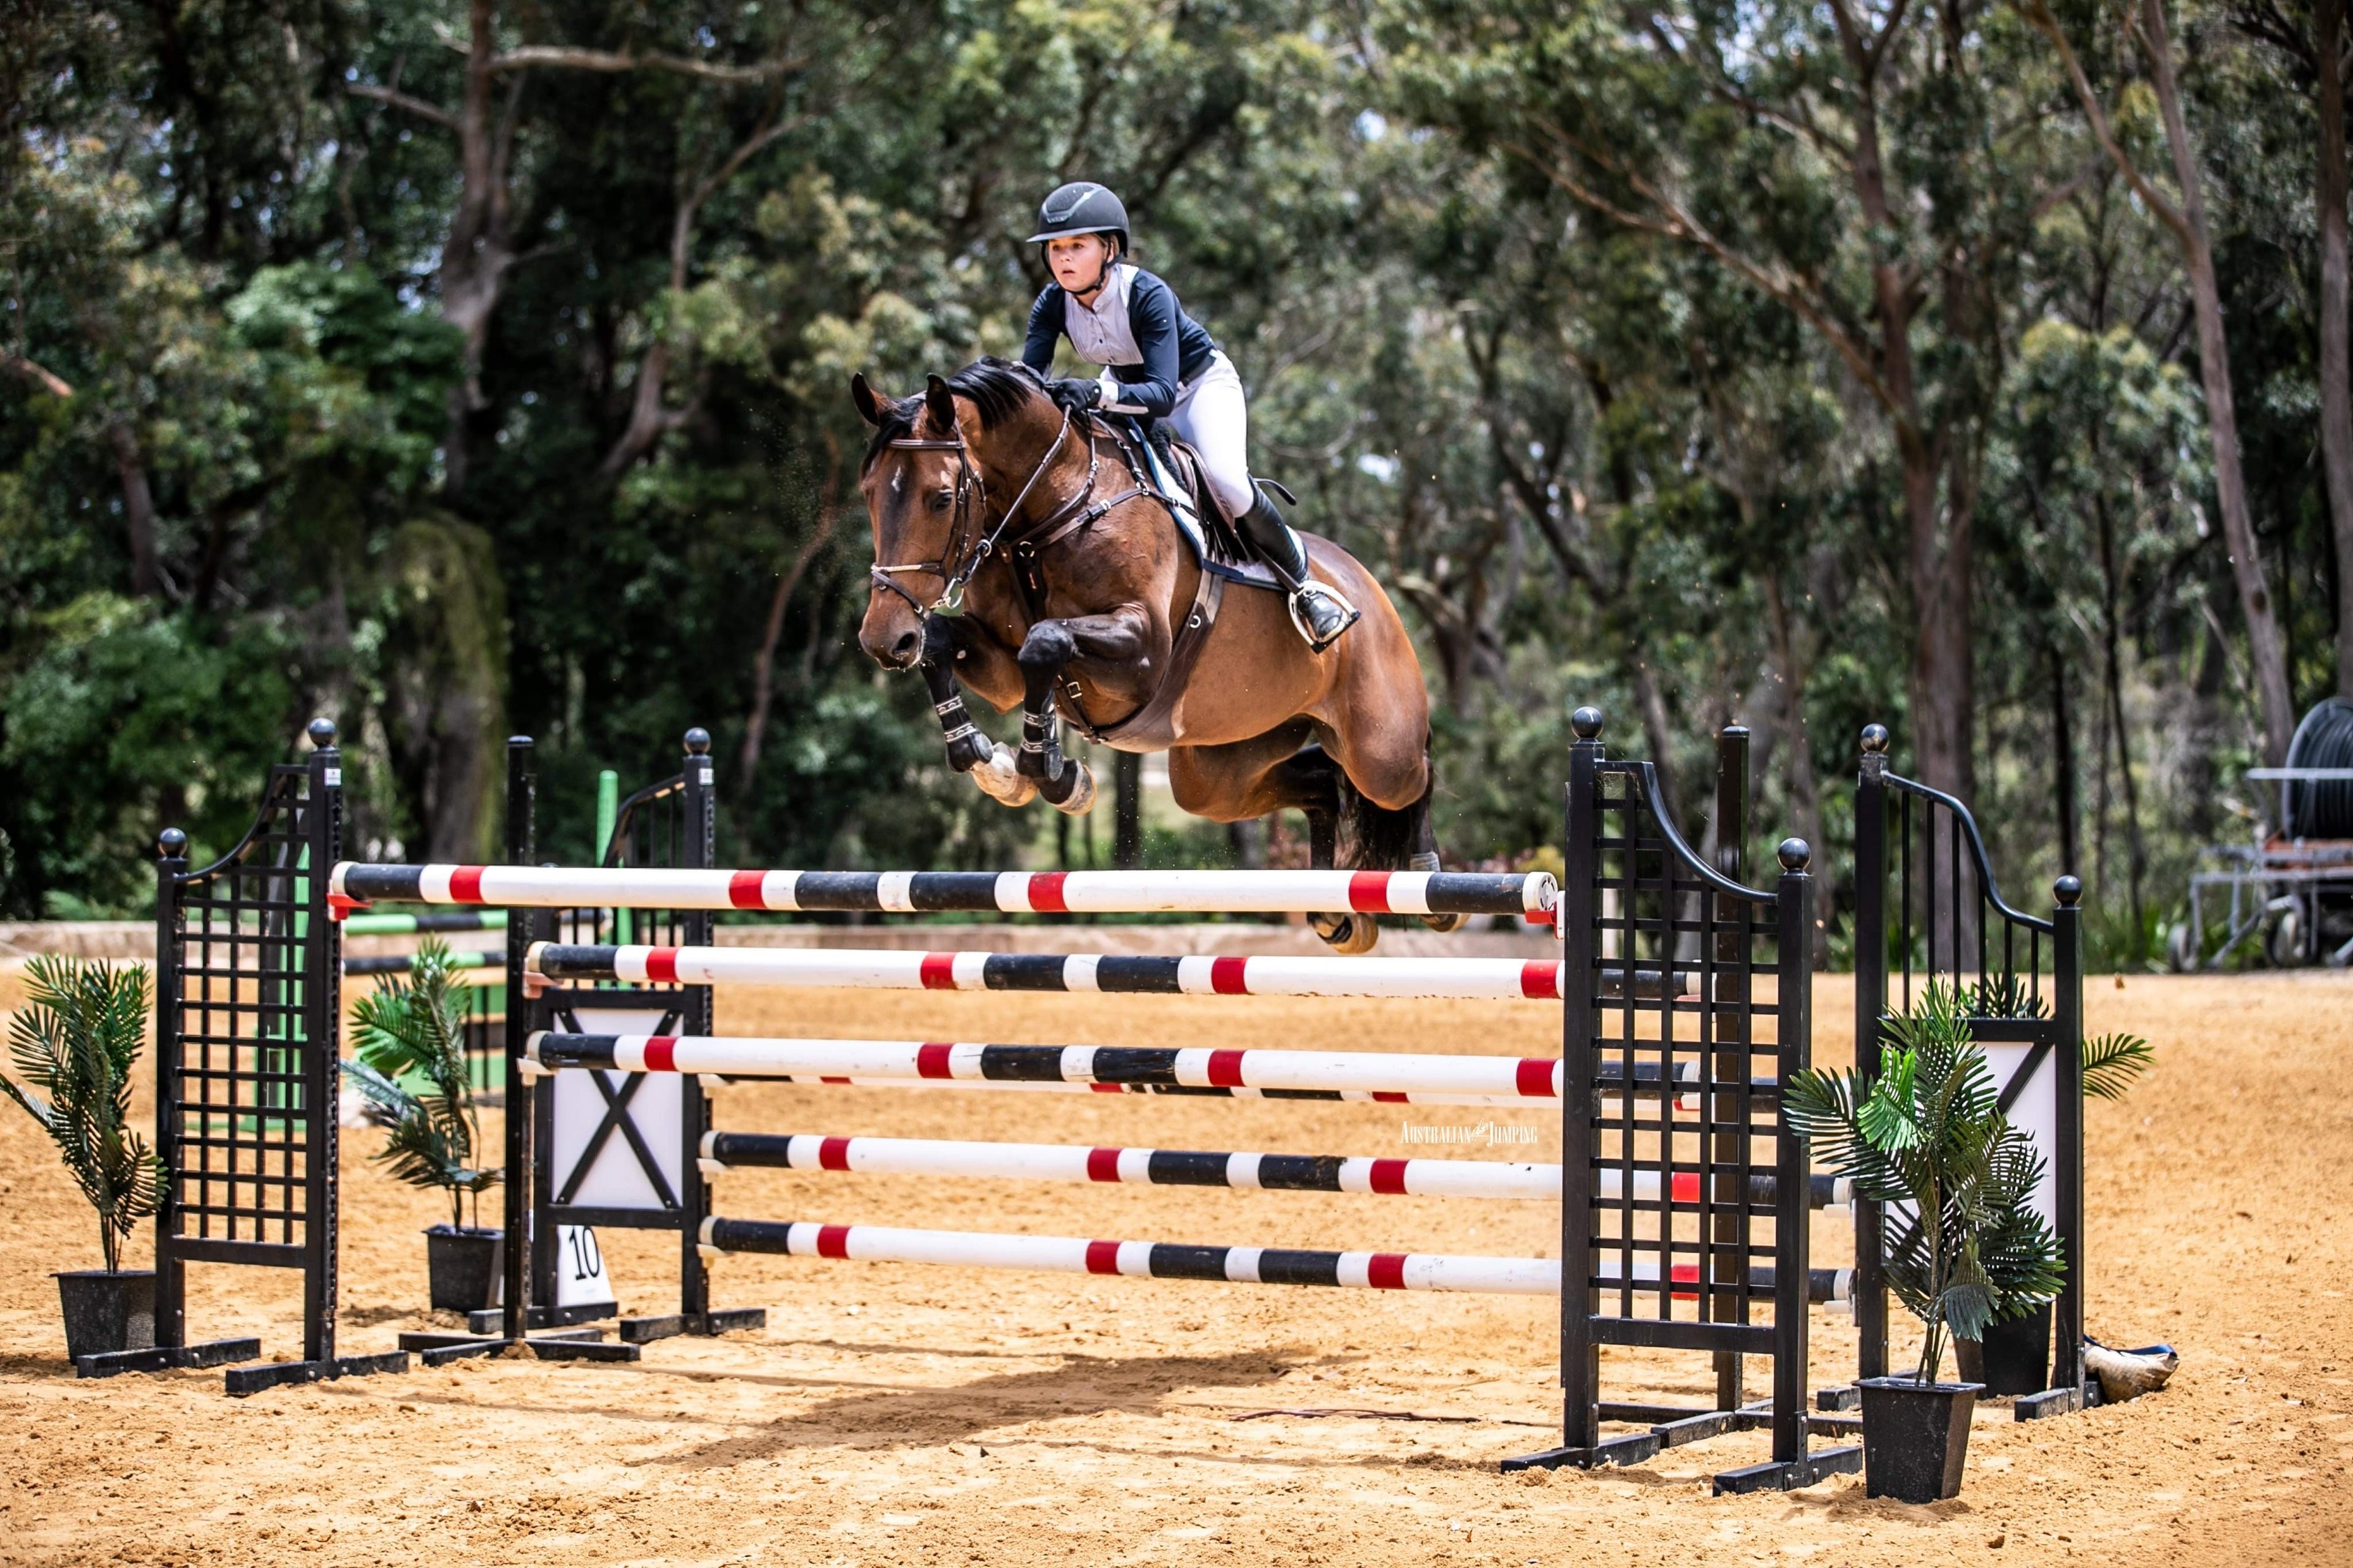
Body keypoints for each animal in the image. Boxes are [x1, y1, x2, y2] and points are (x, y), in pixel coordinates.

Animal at [850, 357, 1454, 952]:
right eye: (868, 493)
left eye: (941, 498)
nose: (884, 640)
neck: (1052, 509)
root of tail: (1370, 587)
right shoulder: (1001, 668)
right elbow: (946, 644)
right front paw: (987, 759)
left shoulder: (1144, 654)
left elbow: (1045, 641)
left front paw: (1049, 770)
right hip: (1220, 769)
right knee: (1322, 784)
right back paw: (1333, 913)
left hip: (1378, 752)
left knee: (1414, 773)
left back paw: (1430, 881)